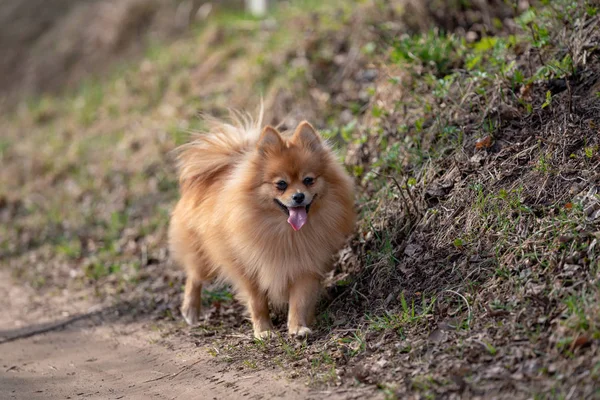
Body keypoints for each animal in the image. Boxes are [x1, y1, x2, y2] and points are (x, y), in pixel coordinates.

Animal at [169, 111, 354, 340]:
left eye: (308, 180)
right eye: (281, 184)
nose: (299, 196)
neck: (286, 232)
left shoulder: (306, 266)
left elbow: (299, 301)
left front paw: (297, 327)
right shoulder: (247, 268)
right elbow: (257, 303)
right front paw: (264, 330)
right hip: (203, 253)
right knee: (194, 276)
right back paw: (191, 310)